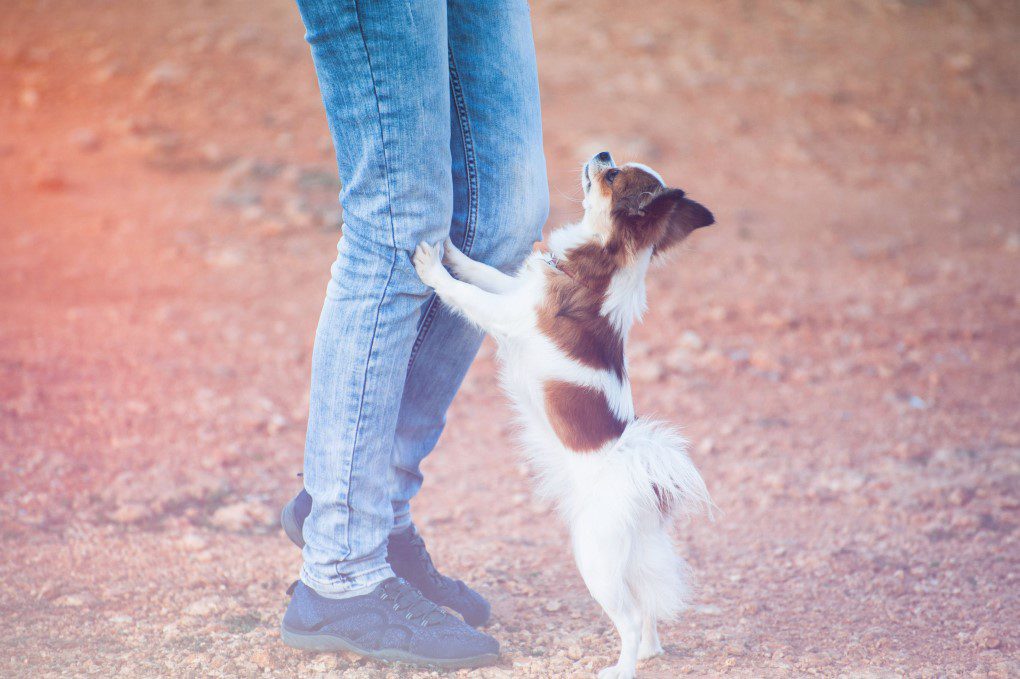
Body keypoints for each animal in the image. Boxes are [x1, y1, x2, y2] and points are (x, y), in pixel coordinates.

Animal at [410, 150, 714, 672]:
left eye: (611, 177)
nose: (602, 153)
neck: (597, 268)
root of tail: (637, 477)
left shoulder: (509, 314)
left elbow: (466, 294)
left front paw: (433, 268)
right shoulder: (515, 290)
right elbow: (482, 271)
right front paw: (451, 248)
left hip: (594, 561)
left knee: (629, 620)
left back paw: (622, 669)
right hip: (625, 558)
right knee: (646, 609)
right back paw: (650, 653)